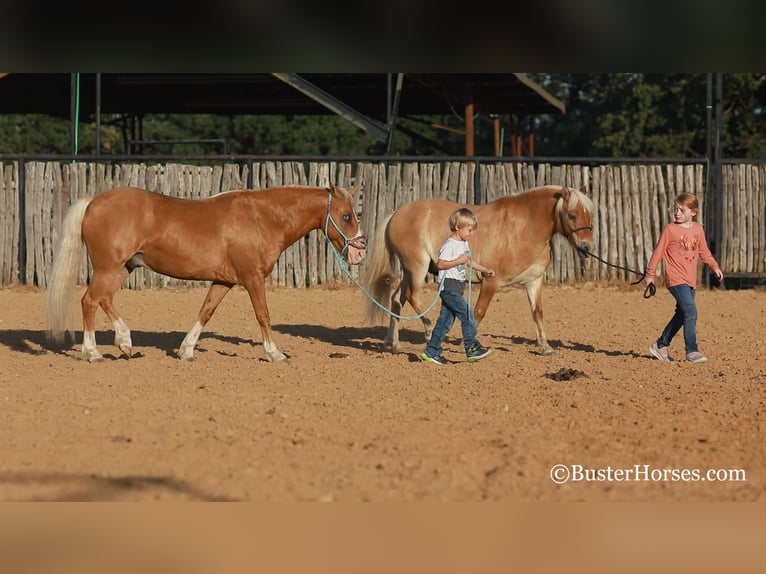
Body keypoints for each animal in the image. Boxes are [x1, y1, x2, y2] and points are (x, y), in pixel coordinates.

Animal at [46, 186, 368, 364]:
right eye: (346, 216)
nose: (360, 251)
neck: (263, 217)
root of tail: (94, 201)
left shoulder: (224, 280)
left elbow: (206, 311)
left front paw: (186, 350)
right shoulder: (252, 278)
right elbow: (263, 315)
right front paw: (275, 354)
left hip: (122, 268)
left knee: (103, 300)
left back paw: (124, 342)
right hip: (109, 267)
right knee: (90, 301)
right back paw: (93, 352)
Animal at [364, 186, 596, 356]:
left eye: (589, 216)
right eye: (572, 216)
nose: (587, 248)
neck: (524, 229)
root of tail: (396, 214)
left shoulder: (534, 281)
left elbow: (537, 312)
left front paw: (545, 347)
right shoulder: (490, 281)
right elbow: (478, 313)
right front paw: (468, 345)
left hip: (408, 272)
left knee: (396, 299)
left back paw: (393, 344)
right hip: (417, 268)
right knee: (412, 297)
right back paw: (428, 331)